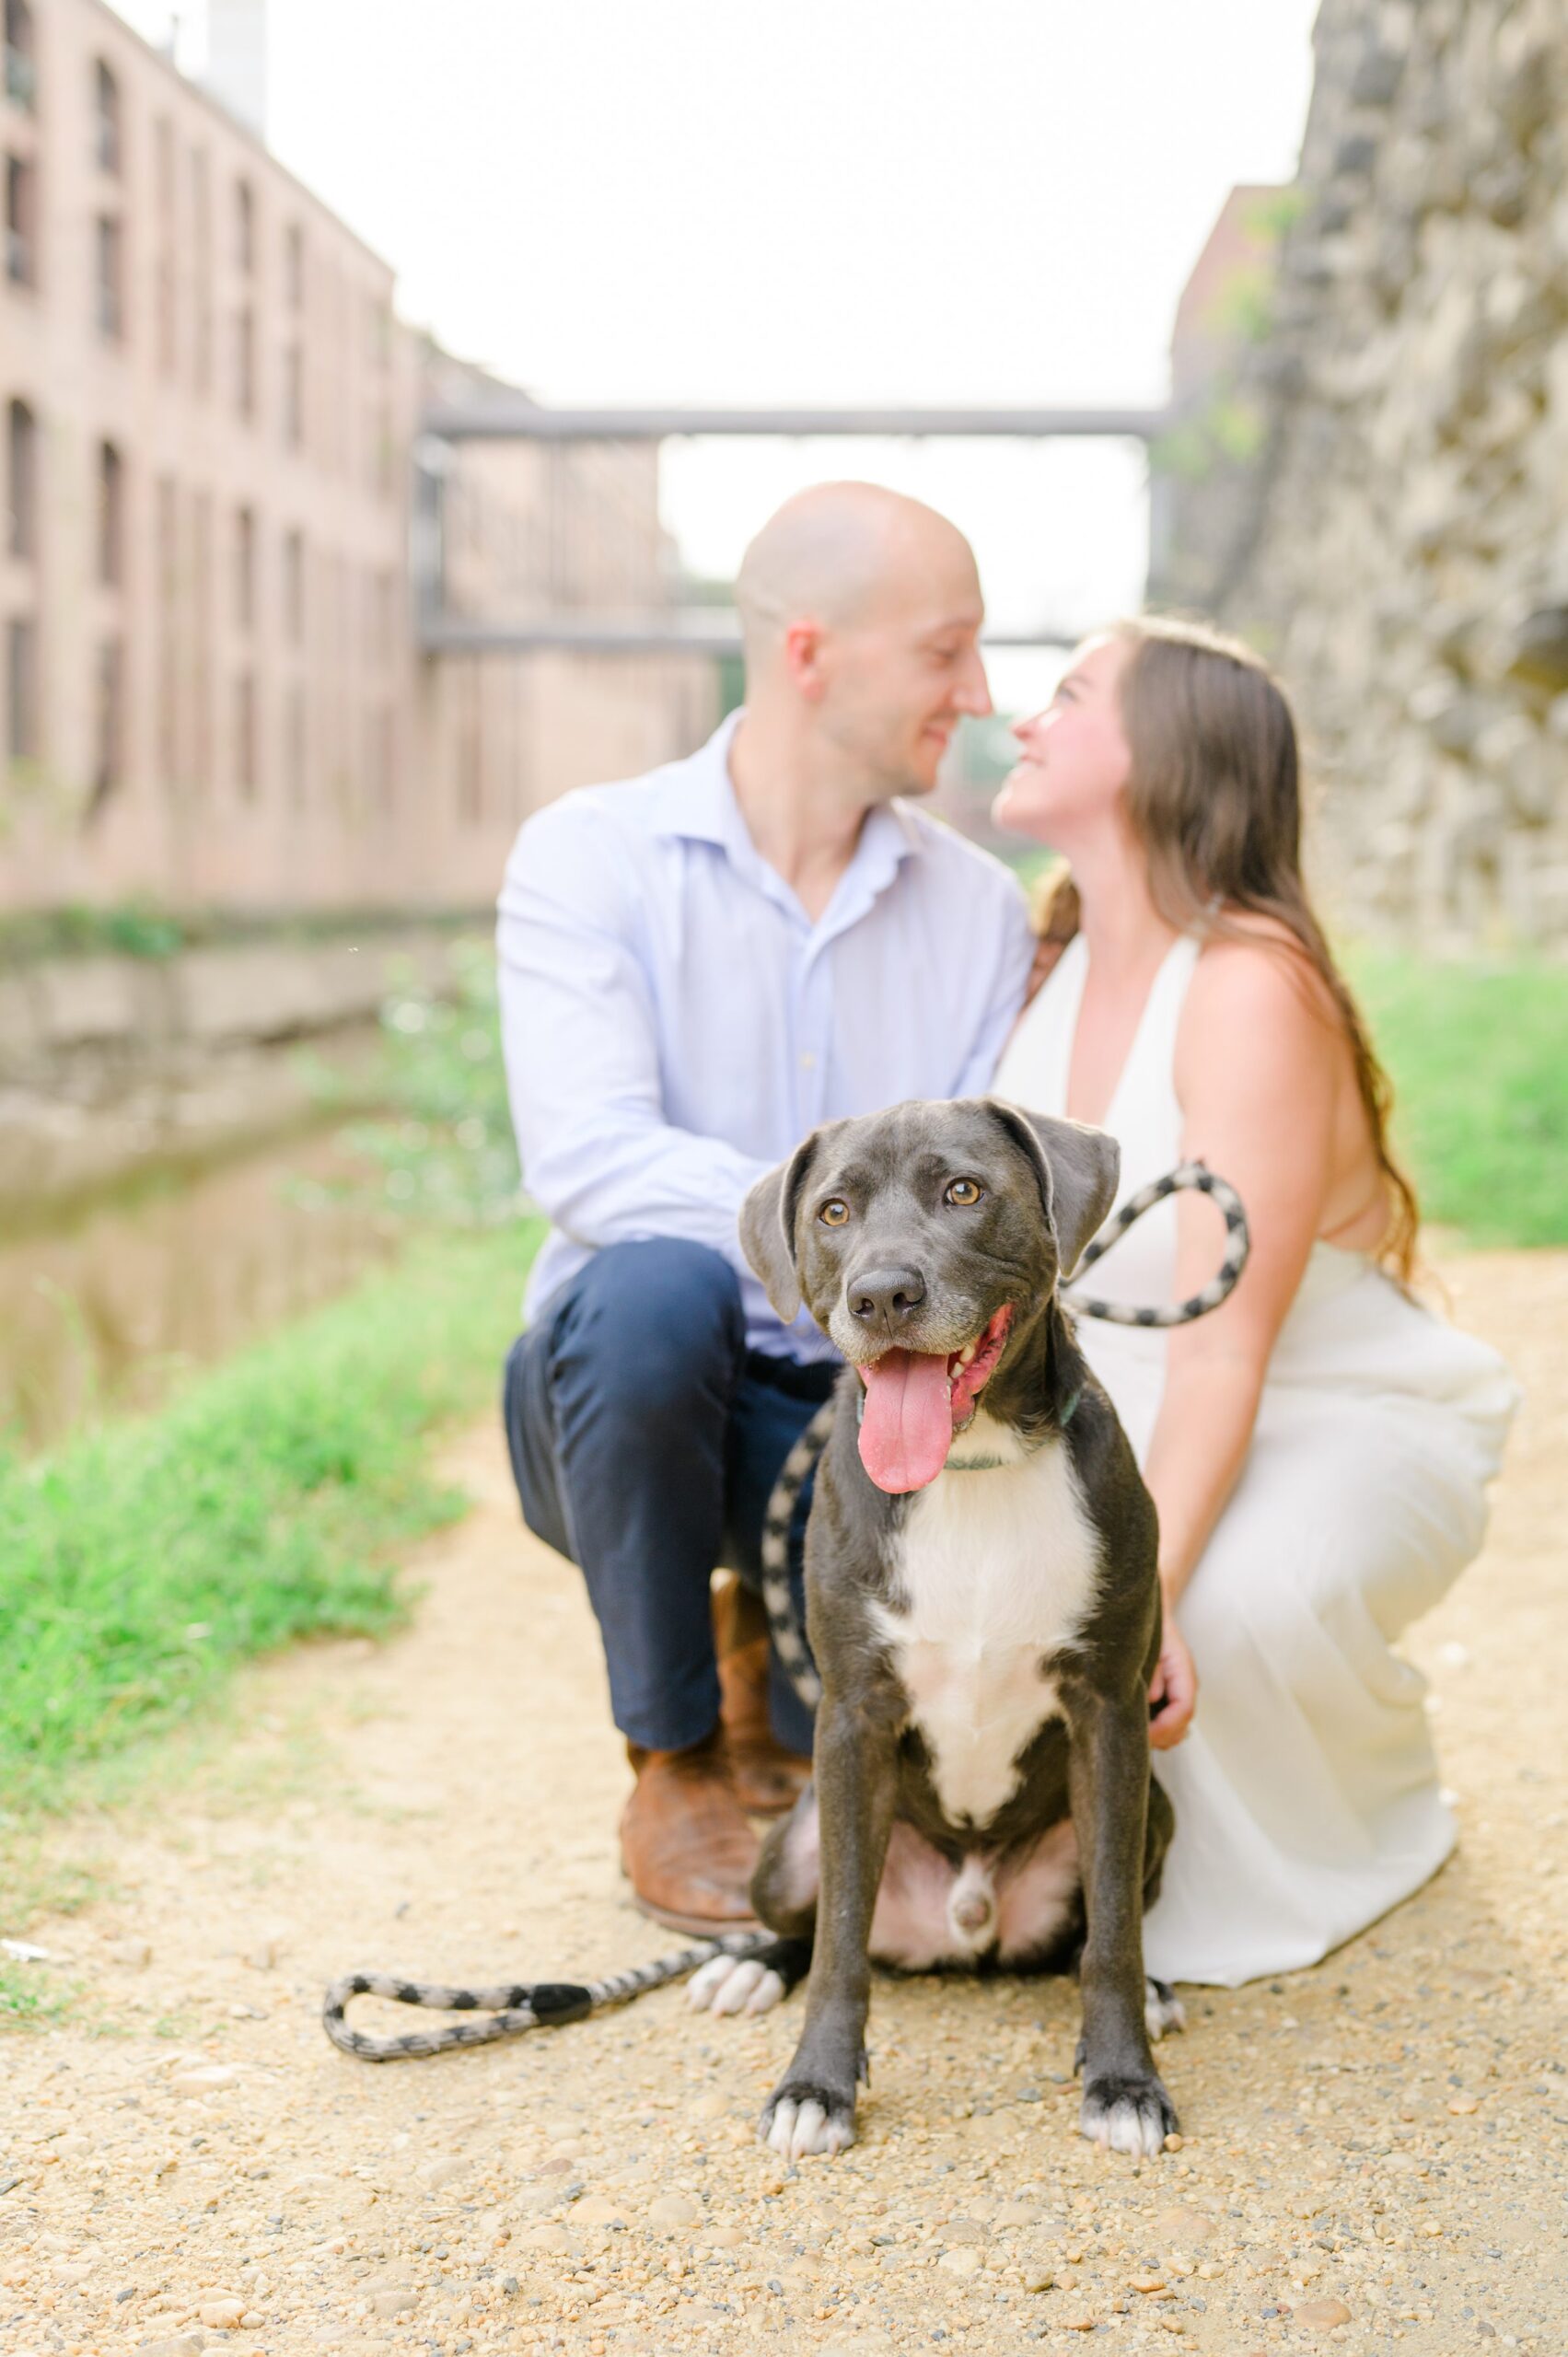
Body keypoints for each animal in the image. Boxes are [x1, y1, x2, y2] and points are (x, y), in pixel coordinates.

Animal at [683, 1093, 1174, 2158]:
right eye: (832, 1211)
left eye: (962, 1191)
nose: (880, 1294)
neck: (971, 1467)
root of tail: (963, 1917)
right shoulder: (854, 1718)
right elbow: (837, 1944)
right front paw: (816, 2088)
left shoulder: (1109, 1713)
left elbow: (1113, 1935)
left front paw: (1123, 2080)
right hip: (788, 1846)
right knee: (816, 1917)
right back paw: (750, 1961)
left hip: (1152, 1808)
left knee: (1096, 1926)